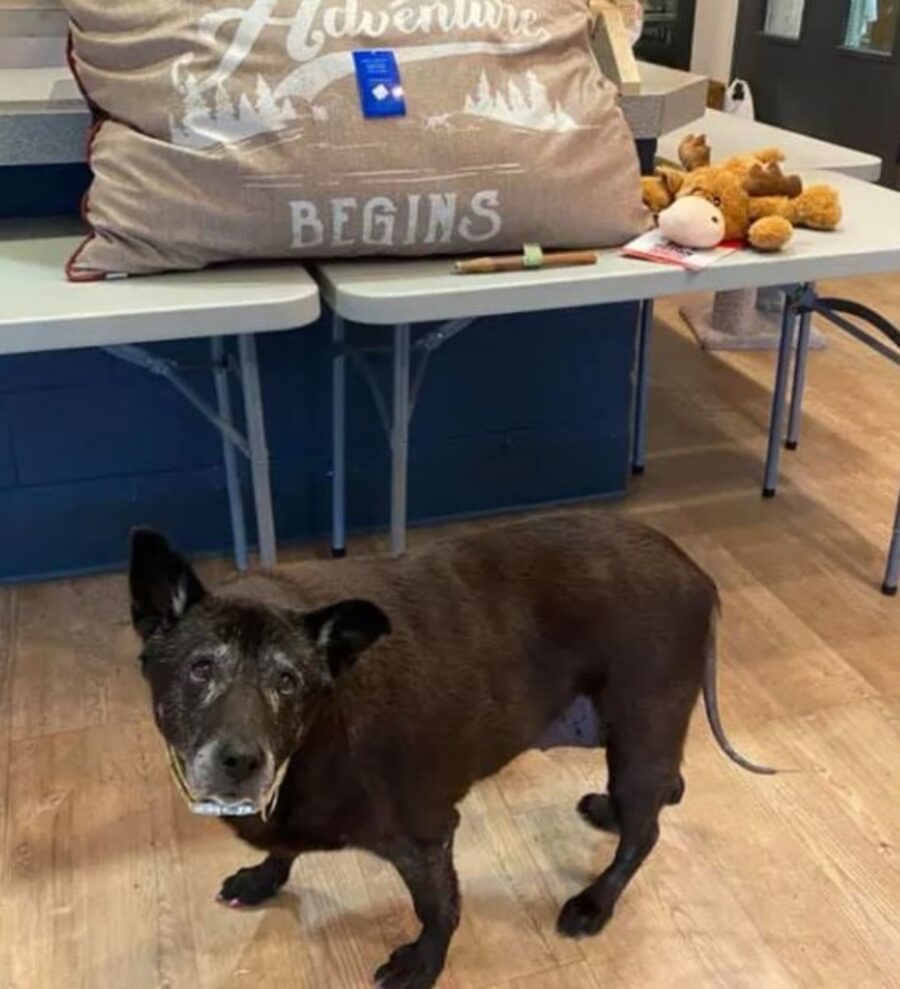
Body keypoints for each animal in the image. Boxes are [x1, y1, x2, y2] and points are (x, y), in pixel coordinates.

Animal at [130, 512, 768, 984]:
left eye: (288, 682)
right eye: (200, 670)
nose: (241, 760)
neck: (313, 735)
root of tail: (694, 572)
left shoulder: (426, 837)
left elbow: (437, 909)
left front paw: (423, 963)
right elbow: (284, 849)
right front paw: (264, 877)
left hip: (639, 735)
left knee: (646, 831)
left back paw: (595, 901)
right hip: (631, 737)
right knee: (668, 790)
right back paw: (612, 813)